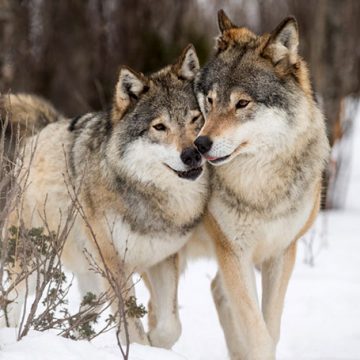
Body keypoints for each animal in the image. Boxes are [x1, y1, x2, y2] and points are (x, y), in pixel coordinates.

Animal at [0, 43, 210, 348]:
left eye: (196, 119)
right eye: (159, 127)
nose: (192, 154)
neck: (151, 196)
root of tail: (39, 133)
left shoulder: (163, 259)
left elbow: (170, 325)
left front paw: (156, 343)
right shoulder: (115, 264)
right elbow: (131, 326)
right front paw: (142, 348)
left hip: (92, 281)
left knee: (81, 317)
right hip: (34, 263)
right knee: (10, 301)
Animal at [190, 9, 330, 358]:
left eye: (242, 103)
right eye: (210, 100)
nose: (200, 145)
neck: (260, 188)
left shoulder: (281, 253)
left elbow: (271, 327)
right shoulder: (233, 253)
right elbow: (258, 334)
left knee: (216, 290)